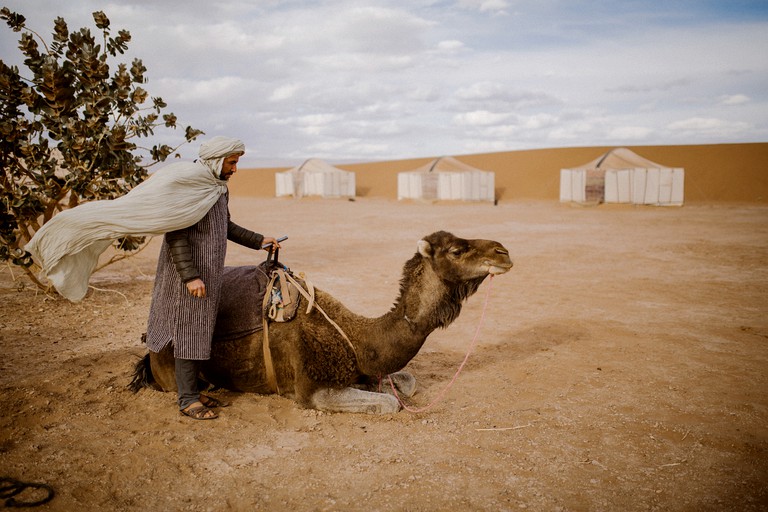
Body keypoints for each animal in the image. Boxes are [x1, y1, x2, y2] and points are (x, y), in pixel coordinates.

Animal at [129, 230, 512, 414]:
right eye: (456, 250)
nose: (503, 252)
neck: (357, 339)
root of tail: (150, 347)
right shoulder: (311, 389)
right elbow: (389, 402)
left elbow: (406, 383)